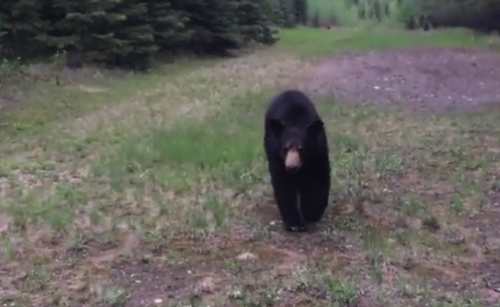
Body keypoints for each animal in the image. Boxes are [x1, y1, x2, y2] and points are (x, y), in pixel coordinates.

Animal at [264, 90, 330, 232]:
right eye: (285, 148)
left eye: (301, 149)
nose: (291, 166)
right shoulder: (276, 155)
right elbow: (283, 186)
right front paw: (294, 223)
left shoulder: (319, 152)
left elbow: (319, 180)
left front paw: (311, 212)